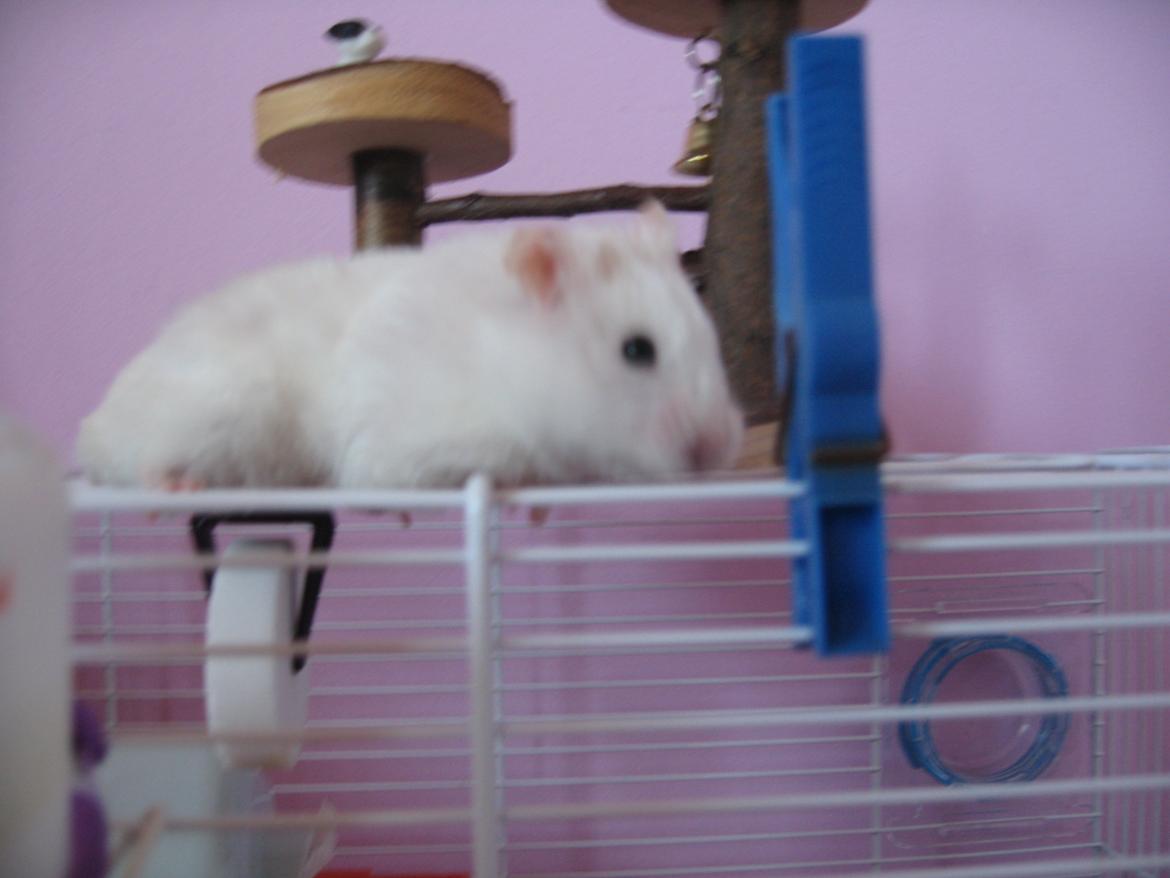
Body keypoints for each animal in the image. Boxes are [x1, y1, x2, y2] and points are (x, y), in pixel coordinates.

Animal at [78, 202, 744, 489]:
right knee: (148, 465)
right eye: (637, 351)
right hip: (220, 411)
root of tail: (92, 430)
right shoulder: (415, 446)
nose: (719, 450)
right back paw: (177, 486)